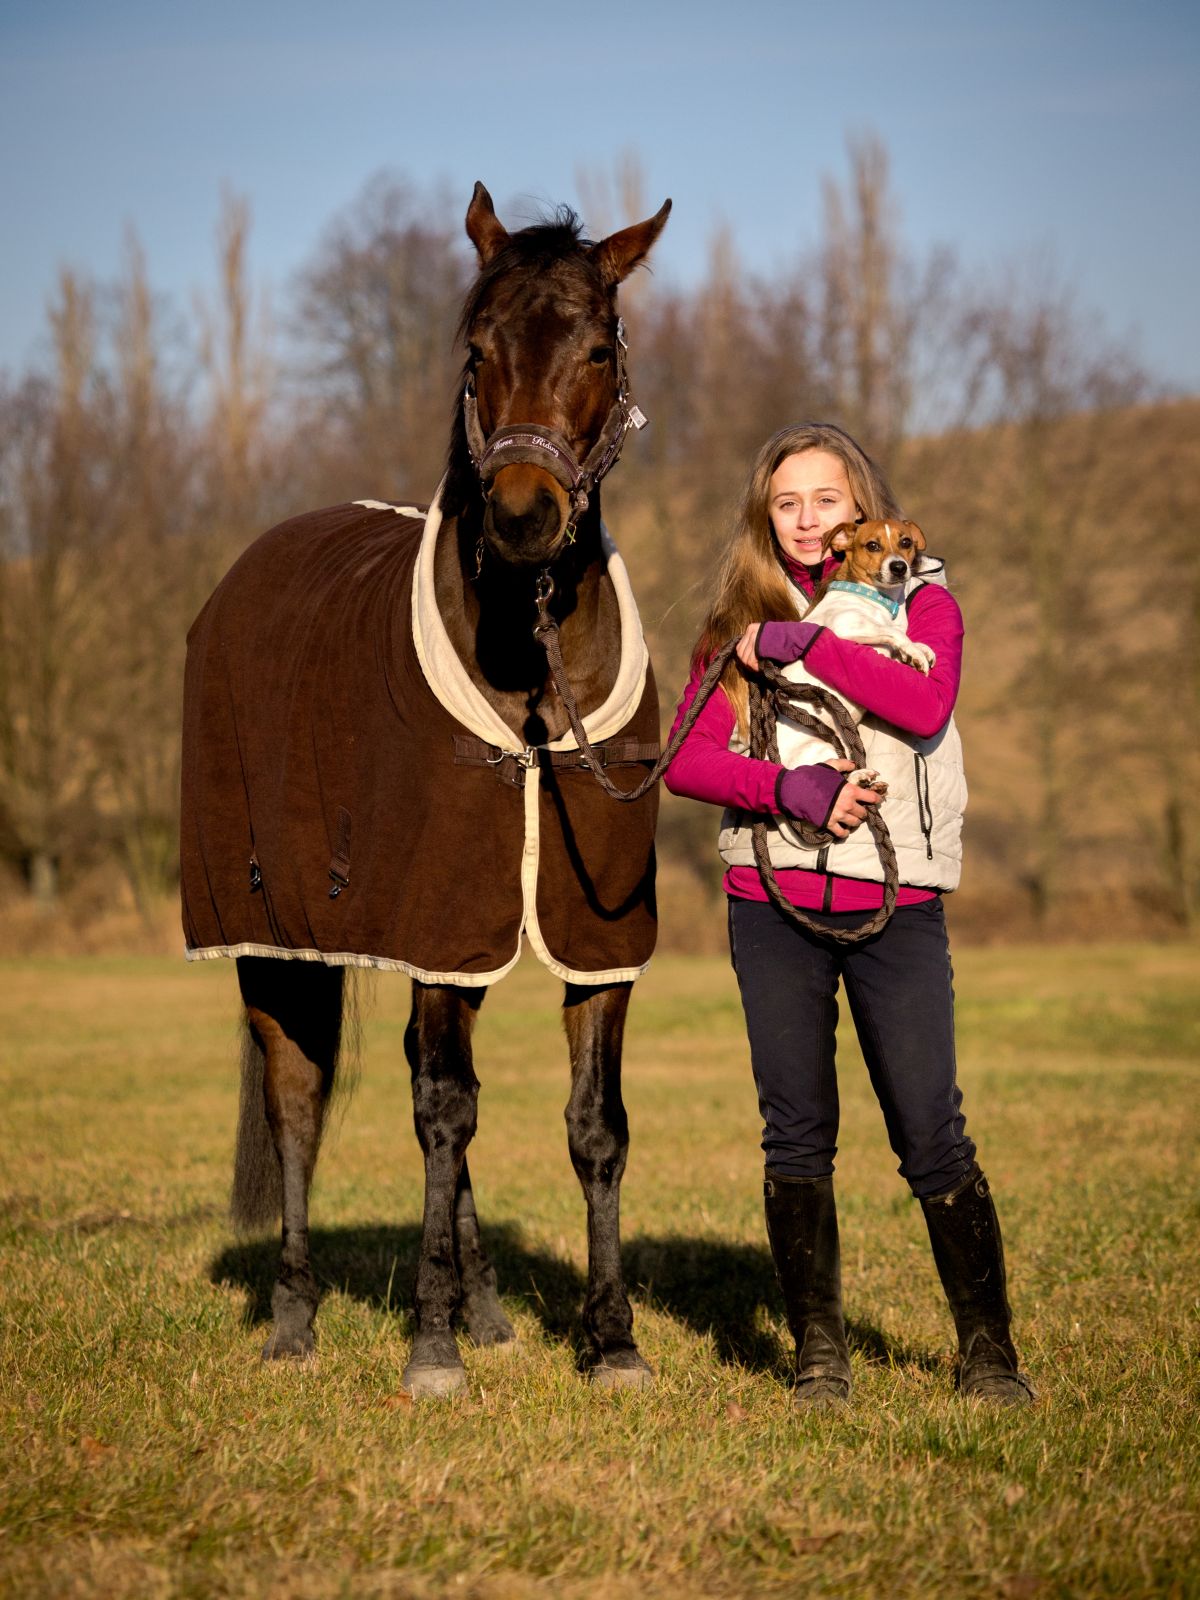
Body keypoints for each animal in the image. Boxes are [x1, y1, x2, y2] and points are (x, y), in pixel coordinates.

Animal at [180, 183, 671, 1397]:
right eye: (476, 349)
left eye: (600, 347)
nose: (524, 516)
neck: (532, 666)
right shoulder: (442, 918)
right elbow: (443, 1117)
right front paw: (432, 1349)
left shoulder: (586, 937)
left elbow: (595, 1125)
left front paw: (612, 1342)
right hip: (276, 941)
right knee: (300, 1101)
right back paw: (297, 1321)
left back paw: (487, 1306)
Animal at [775, 519, 936, 798]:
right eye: (872, 545)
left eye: (906, 542)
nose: (899, 567)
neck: (874, 598)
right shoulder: (845, 625)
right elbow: (894, 632)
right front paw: (915, 653)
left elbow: (904, 639)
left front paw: (919, 651)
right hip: (819, 748)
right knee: (825, 773)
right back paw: (858, 778)